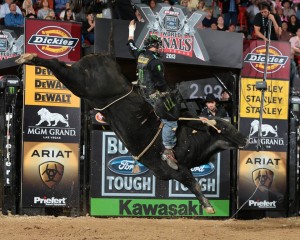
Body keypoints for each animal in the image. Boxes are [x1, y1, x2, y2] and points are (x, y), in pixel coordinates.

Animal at [15, 53, 247, 215]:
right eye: (226, 129)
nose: (245, 139)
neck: (192, 137)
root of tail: (106, 57)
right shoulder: (176, 170)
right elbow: (194, 183)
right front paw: (208, 206)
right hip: (80, 82)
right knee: (56, 65)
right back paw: (30, 57)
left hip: (82, 87)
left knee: (61, 66)